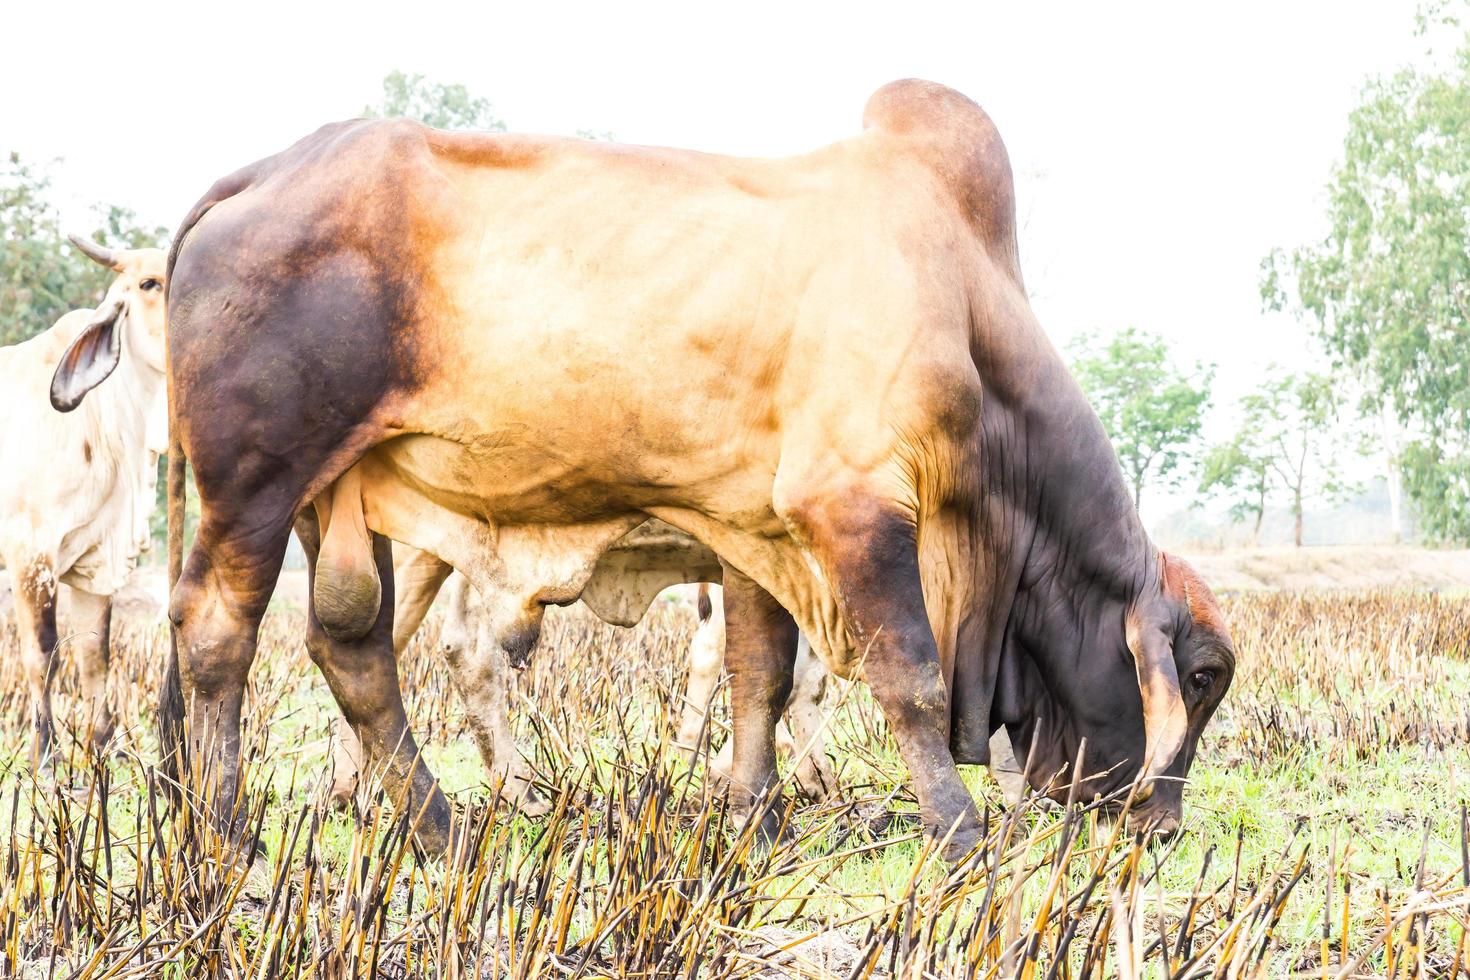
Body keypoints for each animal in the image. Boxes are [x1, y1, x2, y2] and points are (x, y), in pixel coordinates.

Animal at [0, 239, 167, 764]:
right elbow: (42, 654)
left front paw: (104, 748)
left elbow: (95, 655)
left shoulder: (96, 560)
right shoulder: (30, 554)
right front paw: (45, 757)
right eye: (149, 282)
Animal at [166, 78, 1234, 858]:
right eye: (1205, 674)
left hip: (340, 493)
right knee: (219, 631)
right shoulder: (851, 506)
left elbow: (761, 677)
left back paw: (438, 828)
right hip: (257, 480)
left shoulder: (755, 529)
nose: (1163, 827)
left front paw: (753, 816)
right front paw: (959, 835)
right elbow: (912, 678)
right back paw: (228, 837)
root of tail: (258, 176)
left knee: (352, 645)